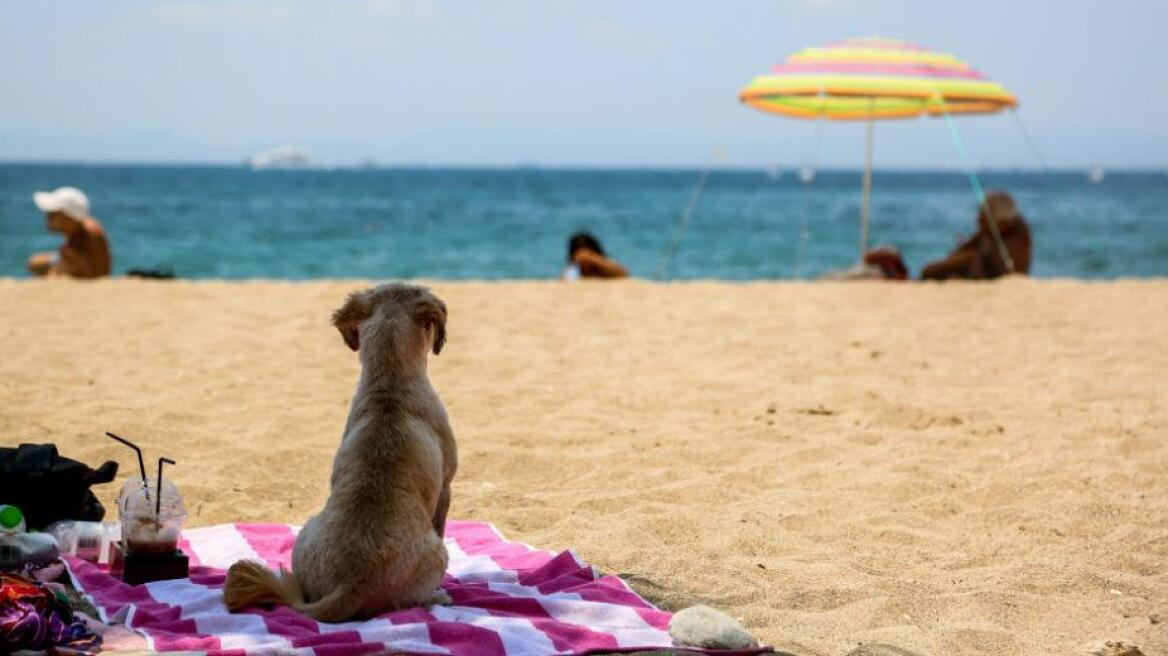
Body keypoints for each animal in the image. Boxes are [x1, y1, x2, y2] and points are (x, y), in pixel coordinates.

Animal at [223, 281, 455, 616]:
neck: (390, 383)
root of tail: (350, 585)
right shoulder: (446, 487)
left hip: (305, 532)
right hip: (437, 552)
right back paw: (437, 597)